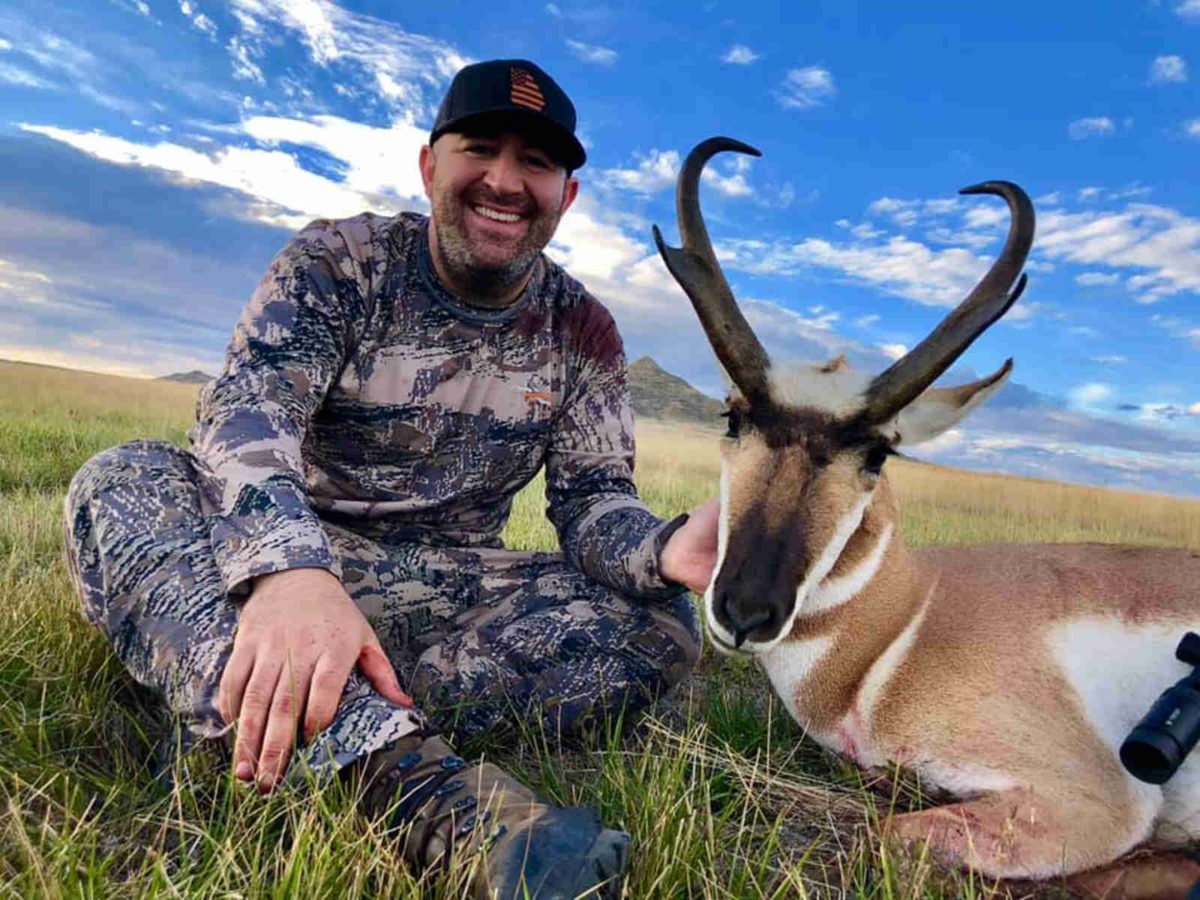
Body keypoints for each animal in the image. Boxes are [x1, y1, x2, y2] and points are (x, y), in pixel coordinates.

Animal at [654, 137, 1200, 893]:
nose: (746, 611)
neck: (907, 618)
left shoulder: (1098, 798)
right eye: (732, 416)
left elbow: (884, 832)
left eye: (879, 453)